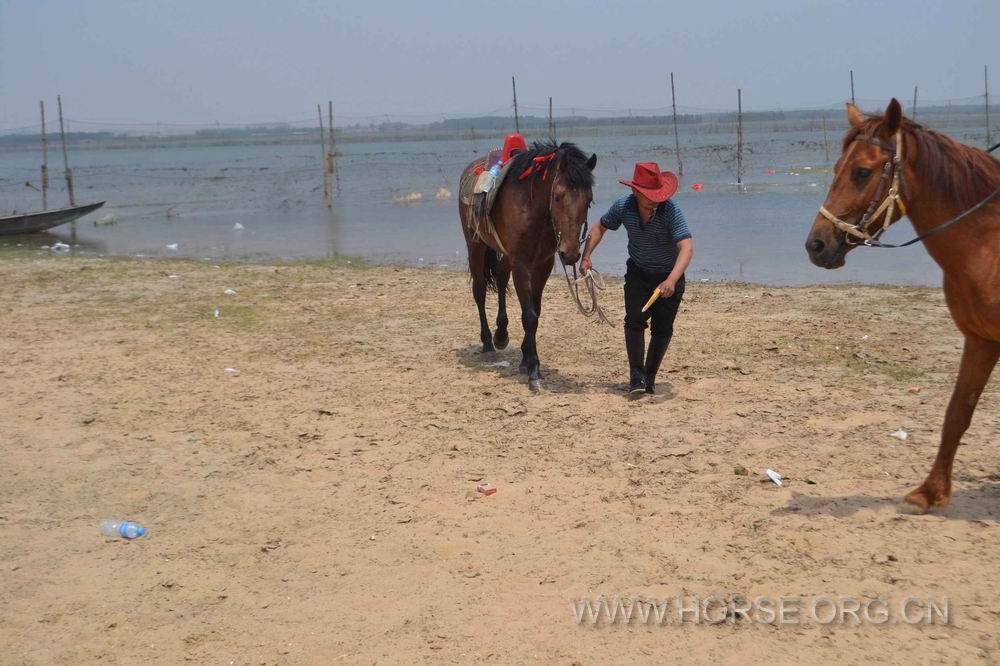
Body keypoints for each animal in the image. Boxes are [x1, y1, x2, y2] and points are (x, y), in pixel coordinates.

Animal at [458, 142, 592, 386]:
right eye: (558, 197)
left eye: (588, 200)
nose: (570, 254)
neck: (532, 208)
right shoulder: (521, 263)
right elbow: (529, 316)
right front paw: (533, 369)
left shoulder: (543, 264)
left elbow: (534, 311)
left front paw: (524, 357)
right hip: (476, 244)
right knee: (479, 291)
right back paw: (488, 341)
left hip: (505, 254)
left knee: (501, 278)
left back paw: (501, 335)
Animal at [804, 98, 1000, 508]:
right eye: (836, 169)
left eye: (862, 172)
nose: (816, 245)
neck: (989, 244)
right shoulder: (980, 340)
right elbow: (957, 412)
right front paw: (931, 491)